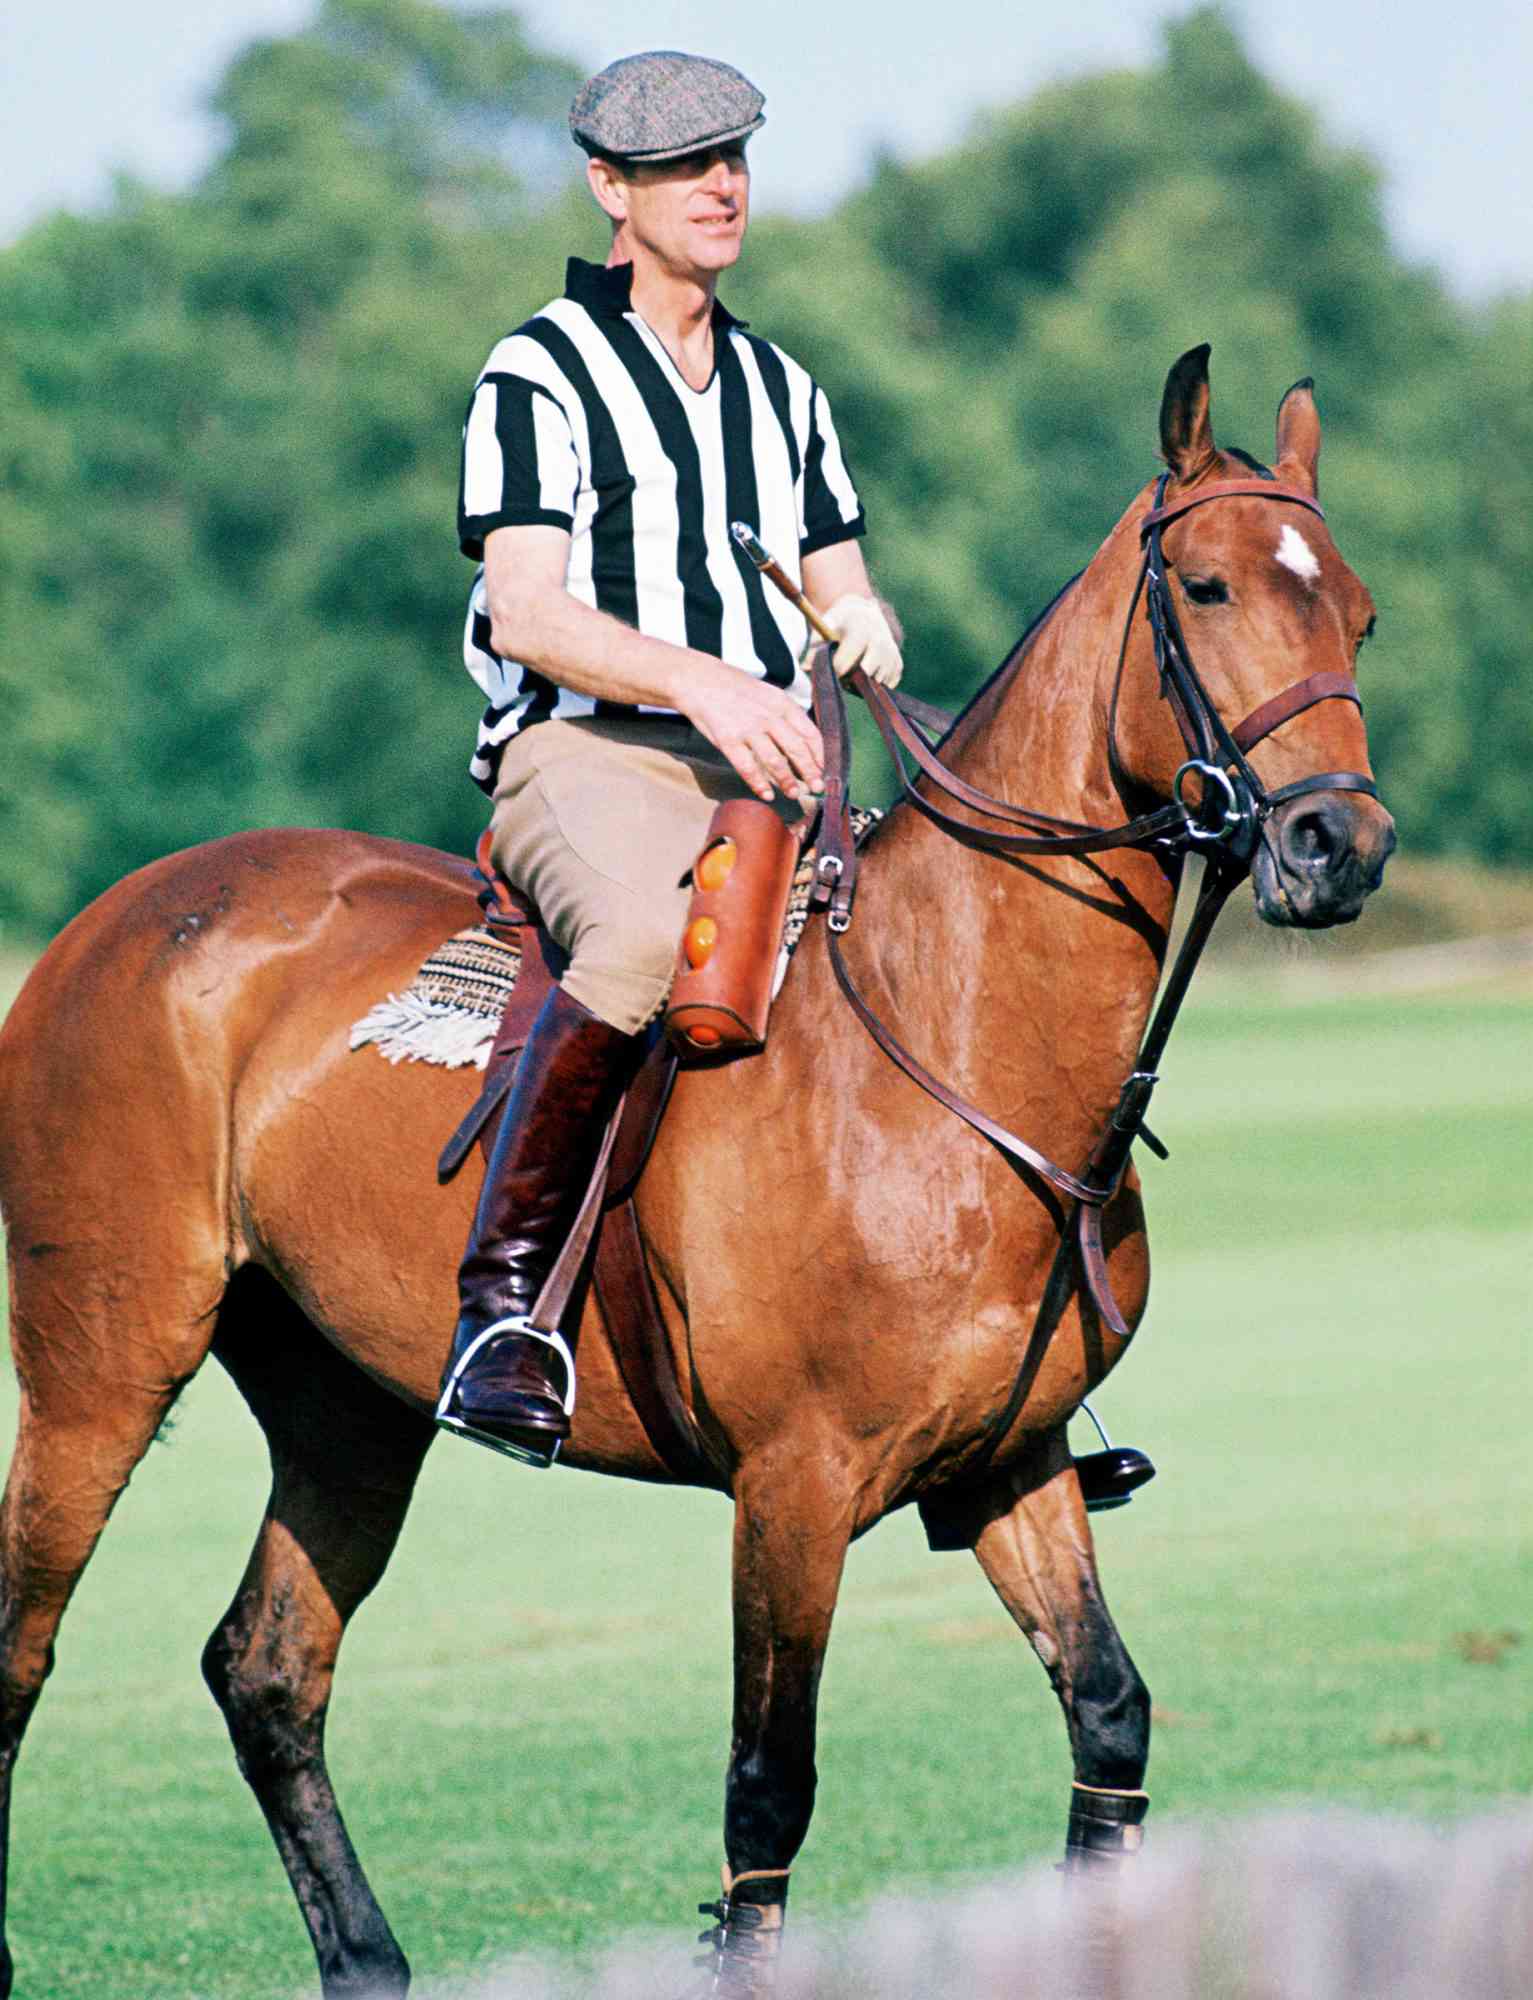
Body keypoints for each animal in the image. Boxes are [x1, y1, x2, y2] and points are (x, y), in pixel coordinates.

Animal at [0, 352, 1392, 1992]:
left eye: (1357, 609)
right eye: (1210, 585)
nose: (1340, 844)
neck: (955, 1036)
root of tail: (105, 921)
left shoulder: (1011, 1459)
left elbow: (1107, 1712)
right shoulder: (792, 1484)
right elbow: (765, 1794)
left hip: (346, 1394)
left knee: (270, 1665)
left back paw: (370, 1959)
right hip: (101, 1362)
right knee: (25, 1642)